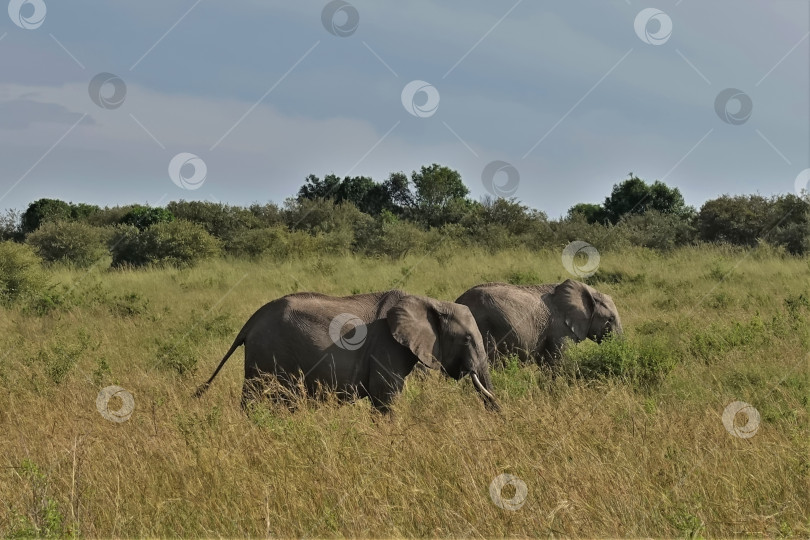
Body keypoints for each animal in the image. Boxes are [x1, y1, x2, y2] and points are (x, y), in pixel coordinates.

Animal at [196, 288, 498, 412]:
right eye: (467, 340)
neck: (431, 302)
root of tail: (250, 322)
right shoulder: (386, 347)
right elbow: (385, 399)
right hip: (267, 353)